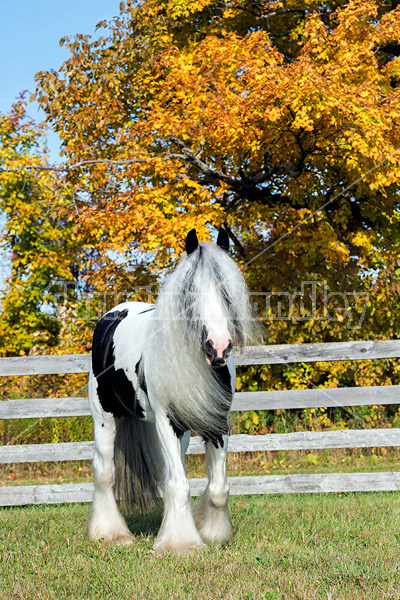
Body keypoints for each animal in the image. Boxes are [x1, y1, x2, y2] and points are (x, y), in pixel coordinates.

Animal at [88, 229, 255, 552]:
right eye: (190, 292)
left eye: (227, 291)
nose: (218, 348)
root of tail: (113, 314)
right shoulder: (167, 421)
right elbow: (179, 485)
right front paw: (180, 545)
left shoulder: (217, 423)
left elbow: (217, 488)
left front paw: (212, 534)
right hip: (105, 419)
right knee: (104, 473)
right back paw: (111, 534)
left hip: (182, 433)